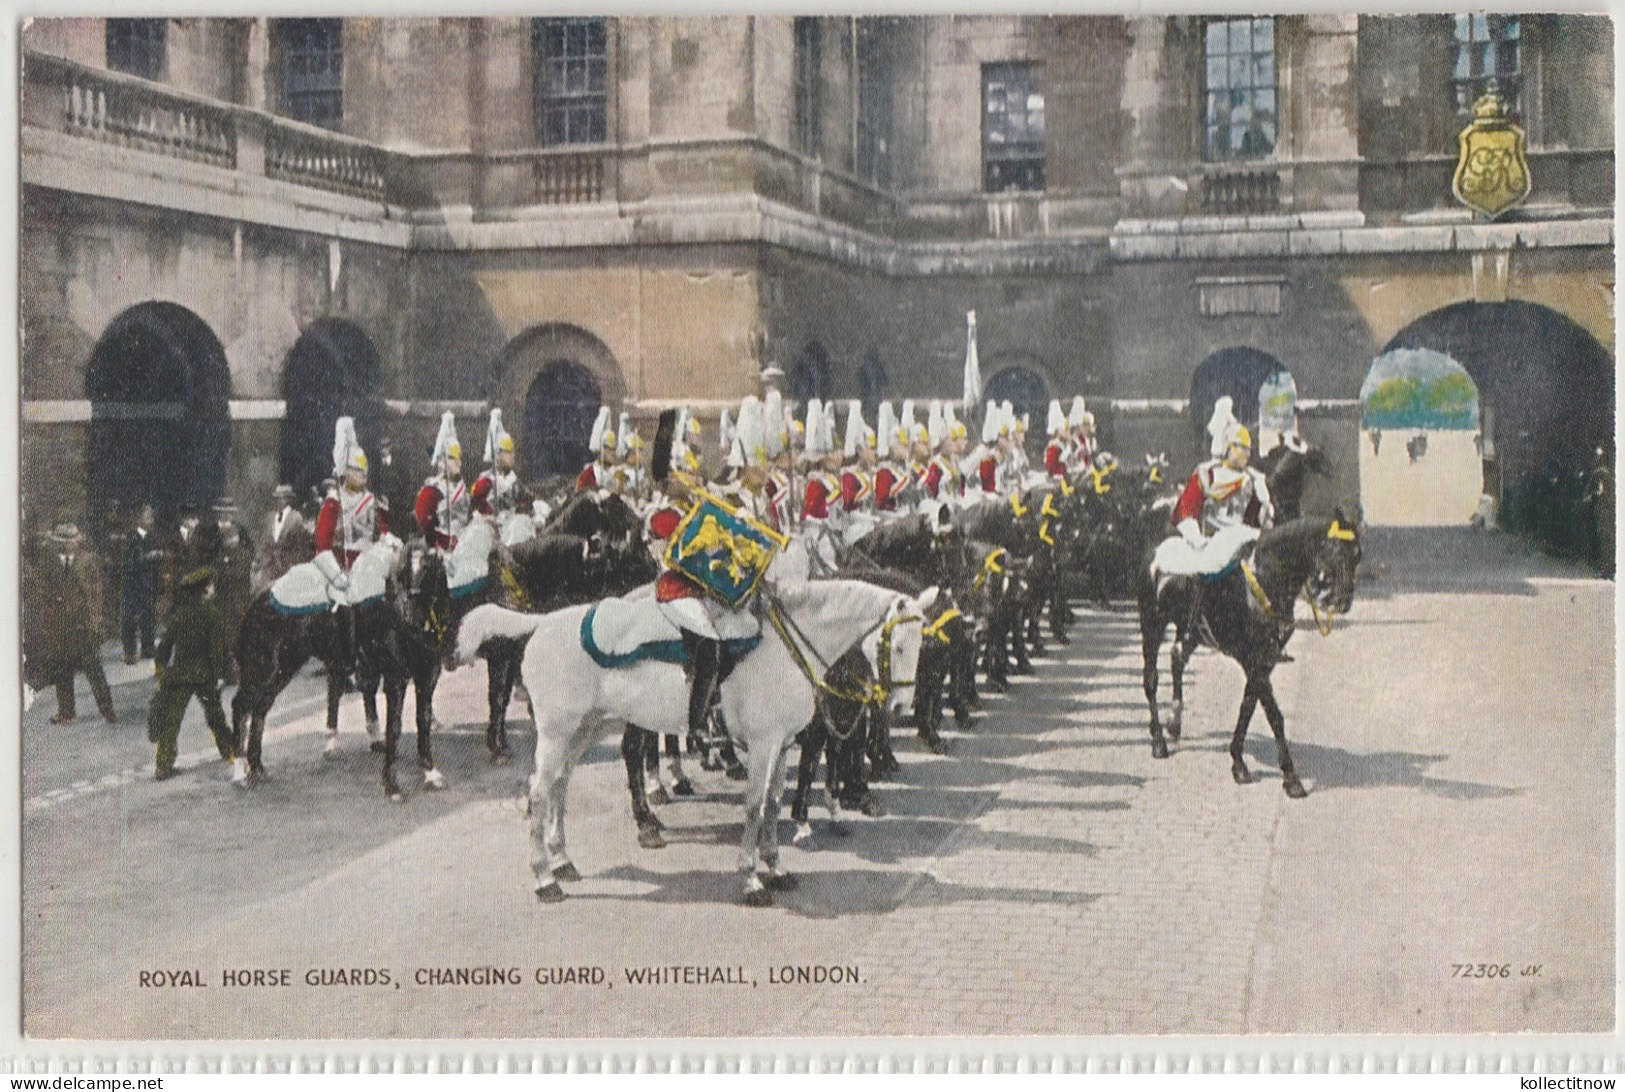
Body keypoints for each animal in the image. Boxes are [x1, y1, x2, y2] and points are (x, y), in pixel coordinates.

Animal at [464, 578, 936, 903]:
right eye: (897, 646)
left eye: (922, 645)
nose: (899, 706)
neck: (785, 647)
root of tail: (543, 622)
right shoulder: (763, 744)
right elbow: (754, 808)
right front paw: (751, 879)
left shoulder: (782, 745)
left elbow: (773, 805)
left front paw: (776, 868)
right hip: (557, 732)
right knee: (539, 794)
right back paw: (544, 878)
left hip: (583, 728)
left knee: (559, 788)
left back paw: (561, 862)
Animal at [1137, 507, 1365, 796]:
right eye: (1336, 549)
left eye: (1357, 555)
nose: (1344, 601)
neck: (1263, 579)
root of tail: (1157, 550)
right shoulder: (1253, 660)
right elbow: (1273, 715)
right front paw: (1291, 778)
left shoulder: (1264, 662)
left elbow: (1248, 706)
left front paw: (1239, 762)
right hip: (1152, 626)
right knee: (1151, 680)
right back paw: (1158, 741)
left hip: (1191, 632)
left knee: (1177, 659)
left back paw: (1174, 723)